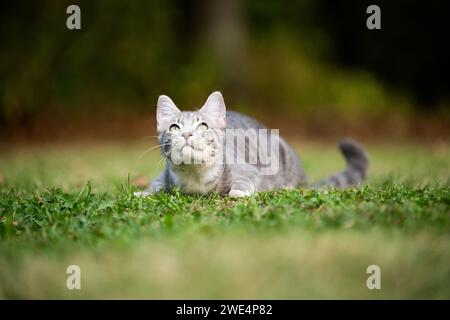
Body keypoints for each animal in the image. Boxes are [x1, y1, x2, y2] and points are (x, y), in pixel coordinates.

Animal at [136, 90, 370, 198]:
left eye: (202, 126)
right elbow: (157, 182)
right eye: (174, 127)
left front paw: (238, 191)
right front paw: (145, 191)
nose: (186, 134)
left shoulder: (248, 169)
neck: (195, 177)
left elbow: (246, 178)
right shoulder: (166, 174)